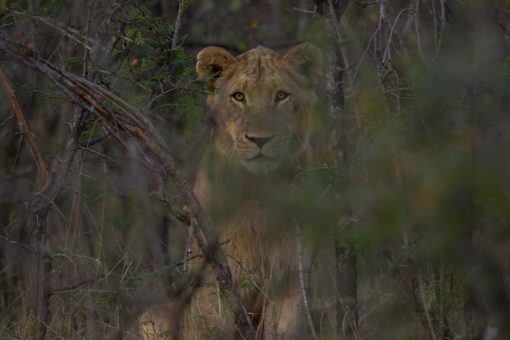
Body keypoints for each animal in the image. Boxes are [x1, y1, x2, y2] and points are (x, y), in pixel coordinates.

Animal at [138, 43, 326, 340]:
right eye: (239, 96)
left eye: (281, 96)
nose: (260, 139)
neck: (259, 191)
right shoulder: (213, 275)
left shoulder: (291, 276)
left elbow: (284, 330)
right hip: (153, 317)